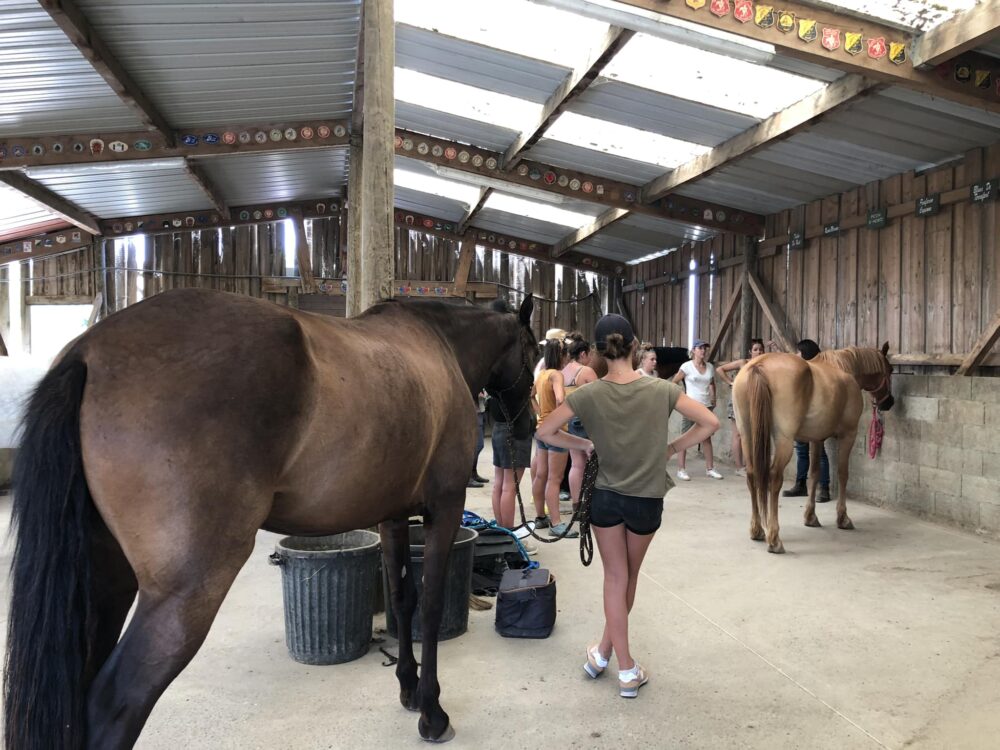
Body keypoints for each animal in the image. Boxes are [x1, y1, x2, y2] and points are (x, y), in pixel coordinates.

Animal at [3, 286, 536, 748]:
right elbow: (429, 606)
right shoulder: (443, 507)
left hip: (104, 584)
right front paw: (431, 712)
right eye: (533, 353)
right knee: (113, 705)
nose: (527, 425)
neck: (437, 347)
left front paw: (407, 687)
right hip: (186, 592)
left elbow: (404, 600)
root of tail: (88, 352)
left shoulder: (393, 517)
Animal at [732, 346, 896, 552]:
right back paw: (774, 539)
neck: (845, 369)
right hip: (784, 441)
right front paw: (843, 518)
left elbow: (815, 473)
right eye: (890, 370)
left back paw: (757, 530)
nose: (889, 402)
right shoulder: (848, 435)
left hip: (747, 435)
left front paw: (810, 517)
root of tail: (758, 366)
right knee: (774, 478)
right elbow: (843, 474)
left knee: (752, 475)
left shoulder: (817, 439)